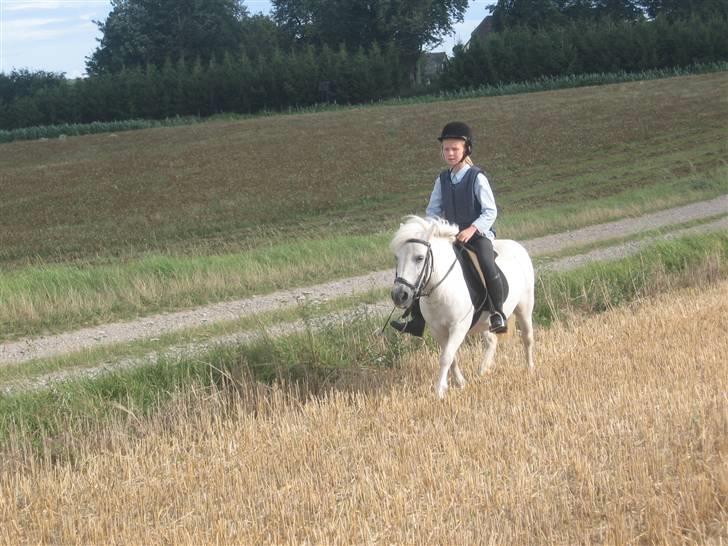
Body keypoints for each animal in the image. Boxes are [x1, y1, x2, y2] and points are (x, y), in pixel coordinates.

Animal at [392, 215, 536, 398]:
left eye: (419, 257)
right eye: (397, 258)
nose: (399, 295)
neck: (442, 289)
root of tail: (518, 246)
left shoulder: (458, 327)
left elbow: (446, 357)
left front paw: (440, 391)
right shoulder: (437, 330)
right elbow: (451, 357)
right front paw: (460, 383)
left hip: (525, 306)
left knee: (527, 337)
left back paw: (529, 368)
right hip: (484, 322)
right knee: (492, 341)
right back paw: (483, 370)